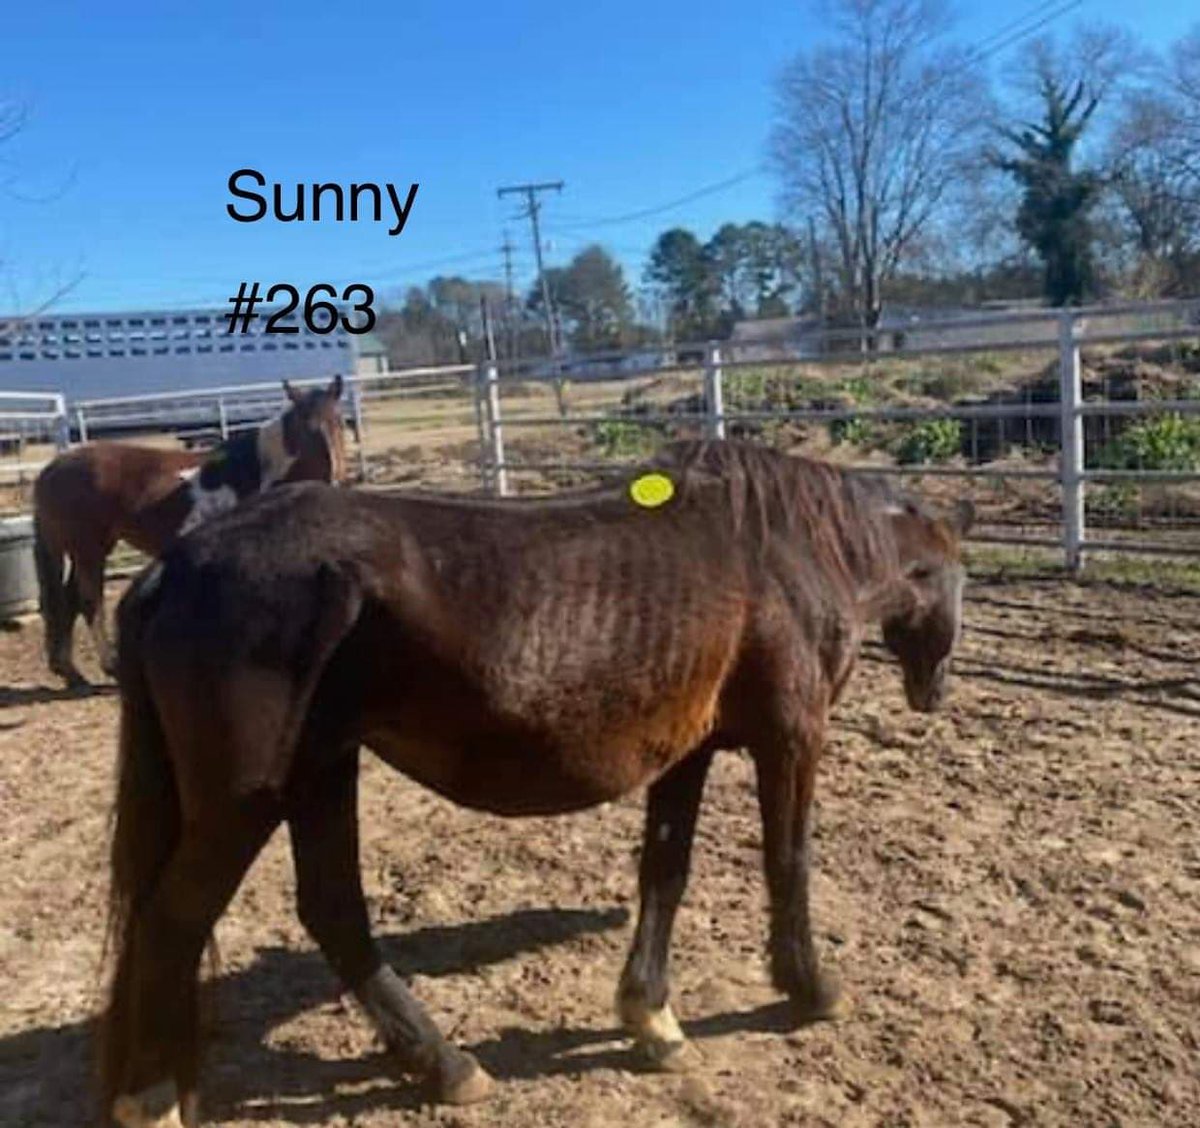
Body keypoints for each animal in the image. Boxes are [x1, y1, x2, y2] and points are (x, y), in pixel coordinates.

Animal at [31, 376, 347, 685]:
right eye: (306, 429)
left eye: (340, 422)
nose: (334, 476)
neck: (259, 474)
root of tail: (52, 469)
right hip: (88, 550)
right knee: (89, 601)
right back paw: (109, 666)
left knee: (68, 601)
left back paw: (70, 672)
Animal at [99, 440, 974, 1127]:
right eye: (954, 578)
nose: (933, 692)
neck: (784, 549)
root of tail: (173, 568)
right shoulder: (791, 738)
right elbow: (788, 864)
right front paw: (812, 990)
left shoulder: (686, 752)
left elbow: (666, 875)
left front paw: (653, 1021)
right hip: (244, 803)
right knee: (173, 922)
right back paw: (150, 1101)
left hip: (318, 770)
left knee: (331, 912)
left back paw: (445, 1067)